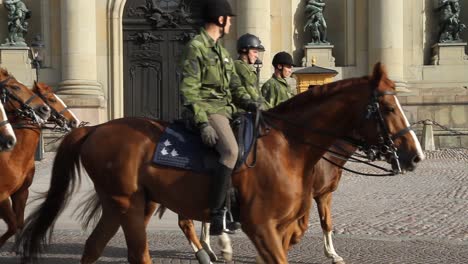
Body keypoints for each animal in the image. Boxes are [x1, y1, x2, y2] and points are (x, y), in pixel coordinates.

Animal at [0, 80, 79, 248]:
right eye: (52, 99)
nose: (74, 121)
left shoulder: (21, 192)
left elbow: (18, 224)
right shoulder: (2, 196)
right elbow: (13, 226)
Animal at [17, 63, 424, 262]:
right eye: (389, 108)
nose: (415, 154)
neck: (290, 145)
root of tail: (95, 130)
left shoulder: (294, 215)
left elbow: (310, 228)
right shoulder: (264, 225)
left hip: (130, 206)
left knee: (94, 248)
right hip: (130, 206)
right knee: (144, 250)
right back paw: (208, 251)